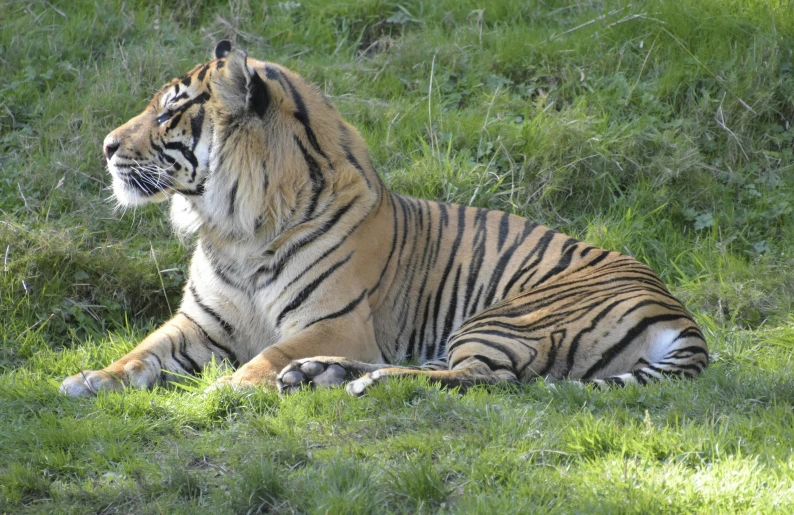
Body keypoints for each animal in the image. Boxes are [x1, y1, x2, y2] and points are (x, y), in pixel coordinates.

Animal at [60, 41, 704, 400]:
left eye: (169, 111)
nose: (106, 147)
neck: (235, 229)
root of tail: (678, 310)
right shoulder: (201, 322)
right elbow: (142, 351)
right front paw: (89, 379)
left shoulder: (337, 321)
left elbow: (269, 354)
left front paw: (232, 386)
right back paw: (319, 375)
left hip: (508, 317)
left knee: (484, 379)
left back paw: (349, 380)